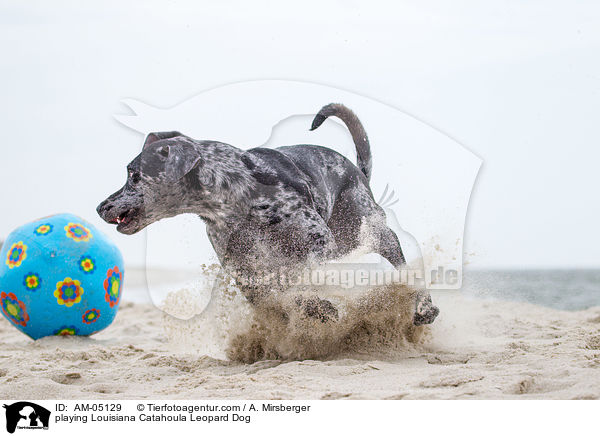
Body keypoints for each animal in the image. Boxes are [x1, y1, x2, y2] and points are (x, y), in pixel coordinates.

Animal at [96, 104, 438, 326]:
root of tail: (358, 172)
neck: (236, 196)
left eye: (133, 174)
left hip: (368, 229)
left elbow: (301, 280)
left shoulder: (316, 241)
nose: (100, 207)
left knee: (400, 260)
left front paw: (315, 304)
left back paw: (424, 306)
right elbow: (274, 296)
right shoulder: (242, 268)